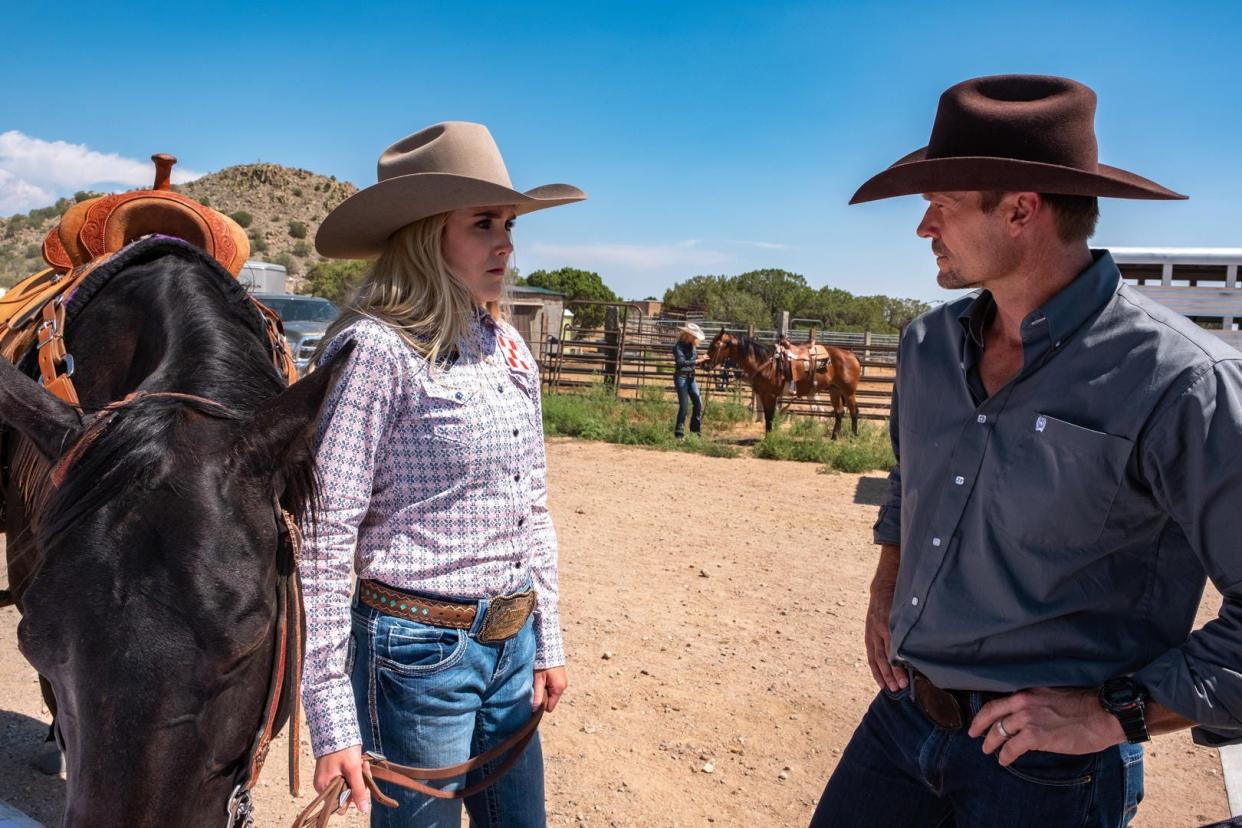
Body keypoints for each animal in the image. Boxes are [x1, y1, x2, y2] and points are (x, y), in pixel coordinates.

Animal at [705, 327, 859, 439]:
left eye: (715, 345)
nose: (705, 364)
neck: (766, 363)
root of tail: (851, 355)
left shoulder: (770, 395)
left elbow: (770, 416)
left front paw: (769, 438)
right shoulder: (764, 395)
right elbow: (768, 416)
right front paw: (768, 436)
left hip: (848, 392)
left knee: (854, 412)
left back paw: (854, 438)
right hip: (835, 390)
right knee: (839, 412)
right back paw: (834, 438)